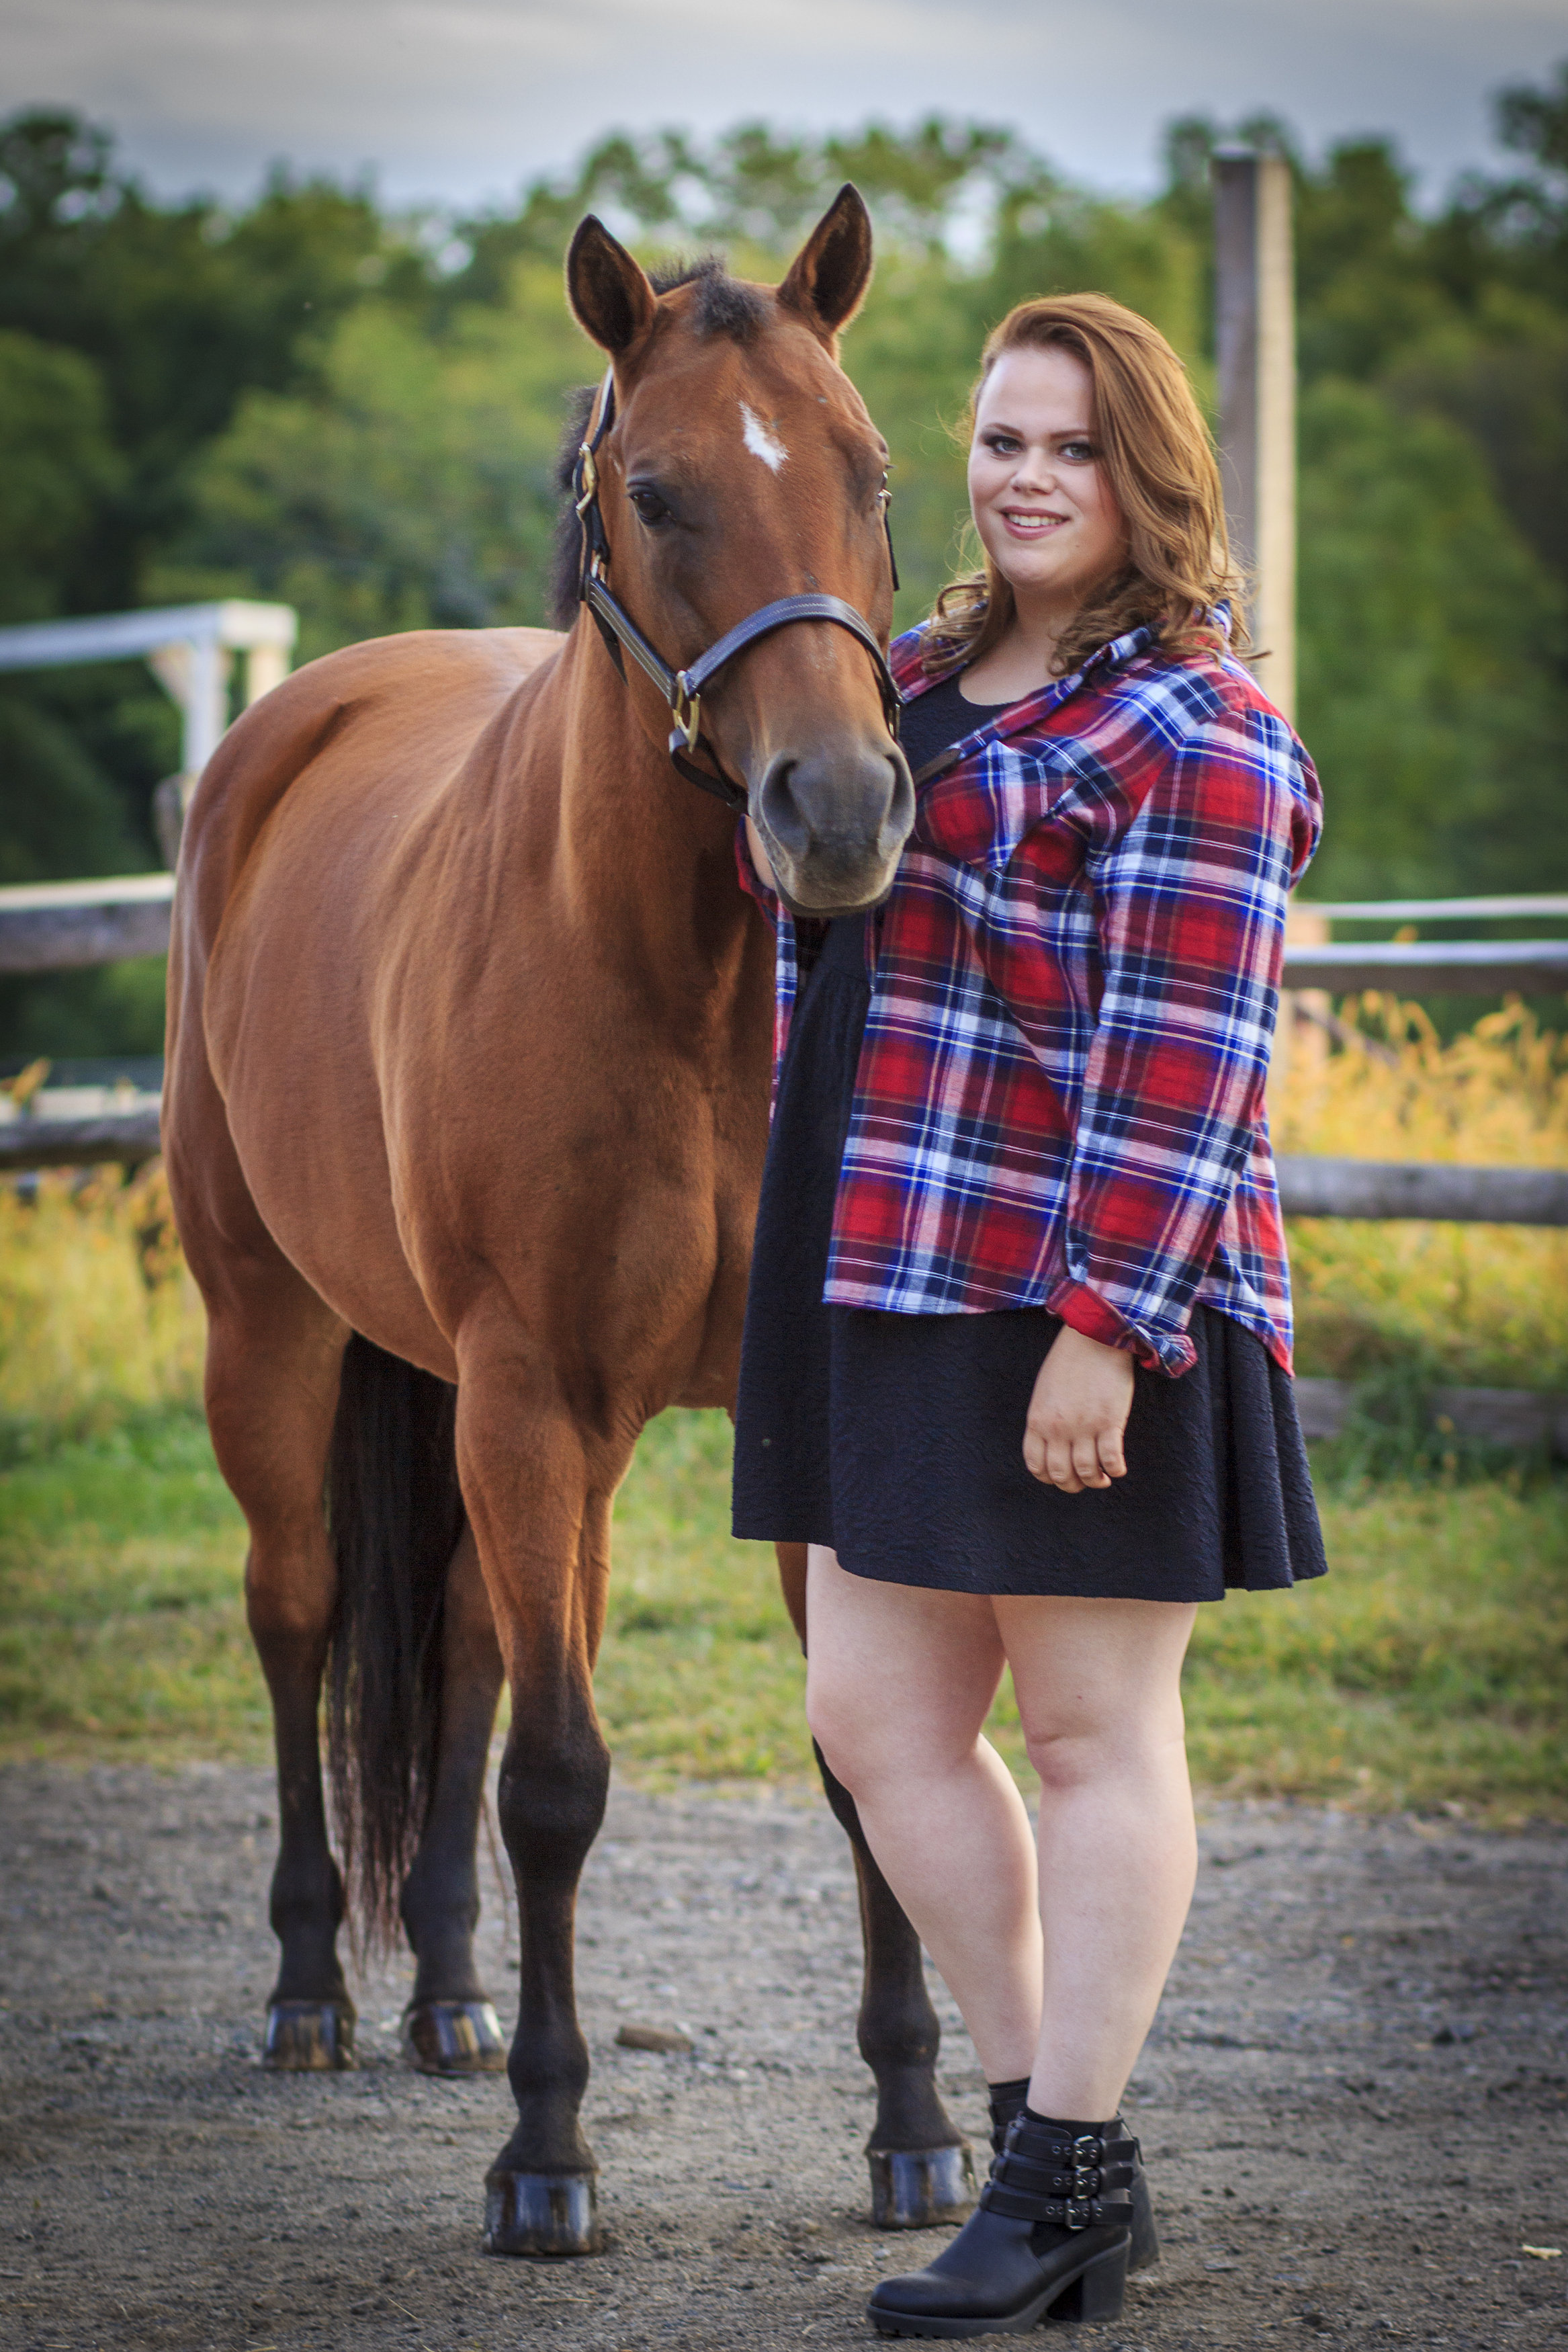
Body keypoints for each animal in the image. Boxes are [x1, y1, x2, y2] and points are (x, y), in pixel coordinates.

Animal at [163, 188, 977, 2257]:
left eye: (870, 474)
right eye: (659, 492)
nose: (837, 813)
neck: (677, 986)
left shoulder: (749, 1411)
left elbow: (854, 1756)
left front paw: (914, 2129)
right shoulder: (527, 1395)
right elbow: (552, 1781)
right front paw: (547, 2160)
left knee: (458, 1640)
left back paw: (449, 1996)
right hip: (277, 1338)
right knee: (302, 1616)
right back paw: (316, 1992)